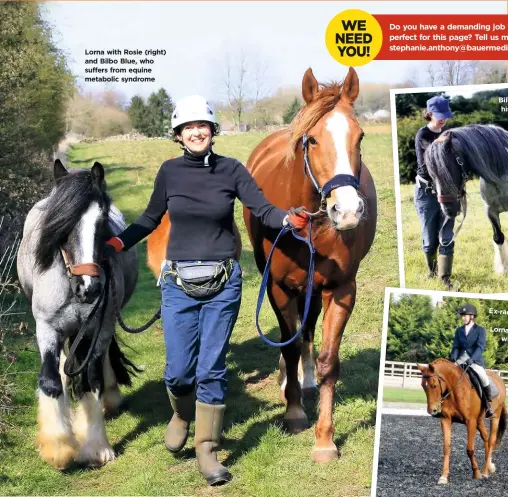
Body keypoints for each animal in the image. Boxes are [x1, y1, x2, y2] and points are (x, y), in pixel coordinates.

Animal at [16, 160, 138, 468]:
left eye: (101, 221)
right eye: (61, 223)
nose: (89, 288)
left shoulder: (98, 330)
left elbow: (91, 380)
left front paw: (96, 447)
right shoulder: (47, 328)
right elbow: (50, 380)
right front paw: (58, 446)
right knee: (62, 368)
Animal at [242, 68, 378, 464]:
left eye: (360, 136)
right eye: (313, 140)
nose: (347, 211)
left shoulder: (341, 289)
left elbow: (329, 360)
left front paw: (324, 439)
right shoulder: (278, 287)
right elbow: (287, 346)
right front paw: (294, 413)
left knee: (308, 329)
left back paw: (305, 377)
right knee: (294, 335)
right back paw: (290, 382)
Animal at [424, 123, 508, 272]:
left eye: (448, 171)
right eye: (432, 175)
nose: (448, 210)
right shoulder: (490, 211)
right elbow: (498, 237)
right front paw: (502, 269)